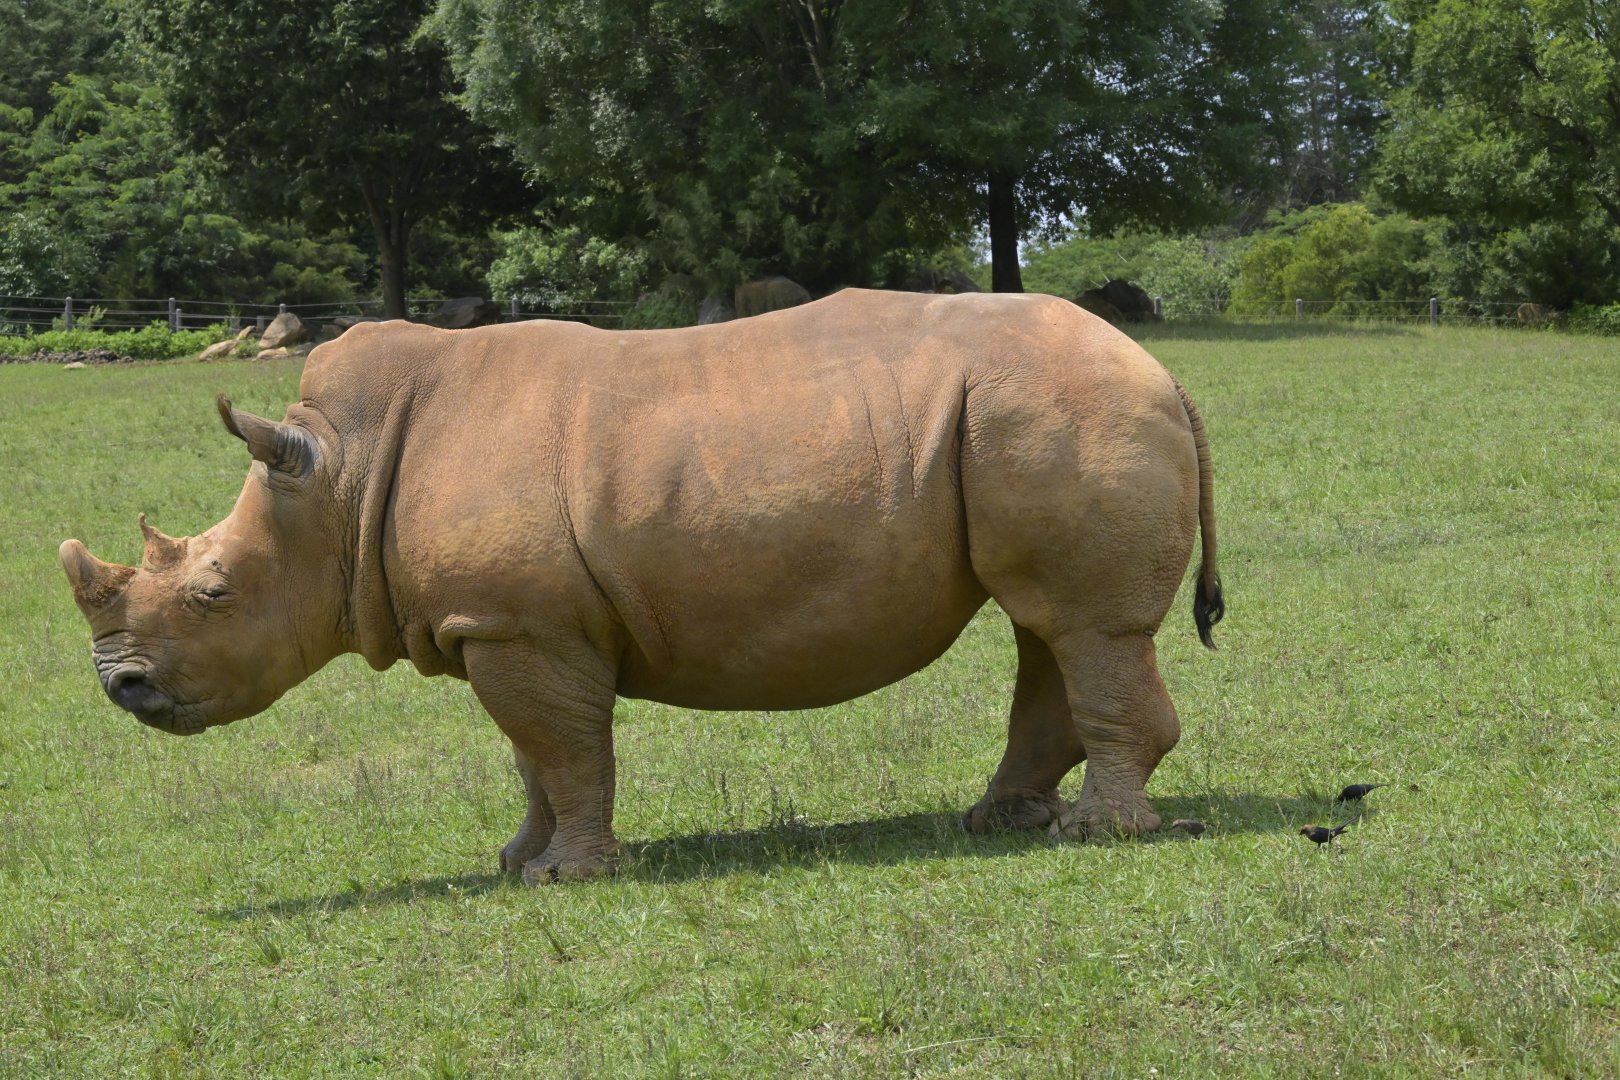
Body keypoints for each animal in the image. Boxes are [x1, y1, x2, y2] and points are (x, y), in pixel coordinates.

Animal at [59, 289, 1222, 883]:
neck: (338, 479)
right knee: (1045, 627)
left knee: (1083, 626)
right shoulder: (506, 622)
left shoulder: (520, 624)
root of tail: (1161, 367)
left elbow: (566, 752)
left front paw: (572, 877)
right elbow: (531, 756)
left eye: (215, 592)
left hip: (1059, 407)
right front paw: (516, 863)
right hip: (1023, 417)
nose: (120, 687)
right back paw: (1000, 822)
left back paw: (1094, 837)